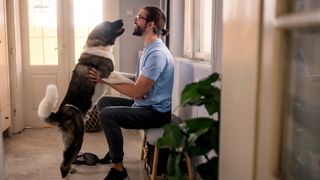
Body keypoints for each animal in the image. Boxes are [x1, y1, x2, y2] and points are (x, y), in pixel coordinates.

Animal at [37, 19, 134, 179]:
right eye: (109, 24)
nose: (121, 20)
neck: (99, 45)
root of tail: (60, 113)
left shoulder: (115, 73)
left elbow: (127, 75)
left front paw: (136, 76)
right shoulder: (108, 75)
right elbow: (128, 82)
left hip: (70, 141)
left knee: (67, 159)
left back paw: (73, 169)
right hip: (77, 139)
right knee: (63, 165)